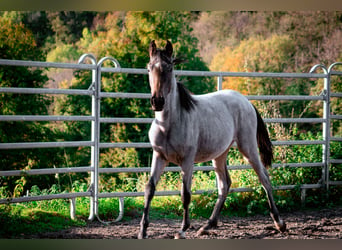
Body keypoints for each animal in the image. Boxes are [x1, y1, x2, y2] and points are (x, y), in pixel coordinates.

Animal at [138, 40, 288, 239]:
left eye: (169, 68)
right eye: (149, 68)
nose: (157, 102)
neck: (168, 125)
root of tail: (246, 101)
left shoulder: (187, 161)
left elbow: (185, 194)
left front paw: (182, 229)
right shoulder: (159, 156)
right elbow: (149, 189)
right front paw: (142, 231)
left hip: (248, 147)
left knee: (264, 178)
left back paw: (280, 223)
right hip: (220, 154)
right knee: (225, 185)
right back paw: (208, 225)